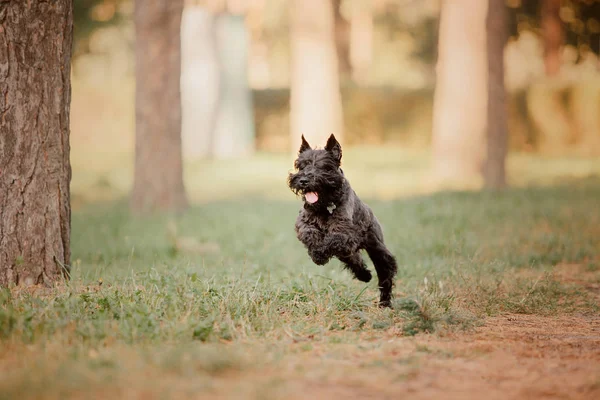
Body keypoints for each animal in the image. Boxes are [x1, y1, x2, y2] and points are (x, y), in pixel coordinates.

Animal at [288, 134, 398, 306]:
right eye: (301, 166)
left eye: (323, 167)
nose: (303, 180)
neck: (325, 205)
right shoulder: (304, 222)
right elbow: (309, 233)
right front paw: (316, 253)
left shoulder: (344, 232)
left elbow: (331, 240)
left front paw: (320, 254)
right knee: (354, 259)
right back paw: (365, 275)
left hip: (377, 249)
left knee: (385, 272)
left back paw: (384, 303)